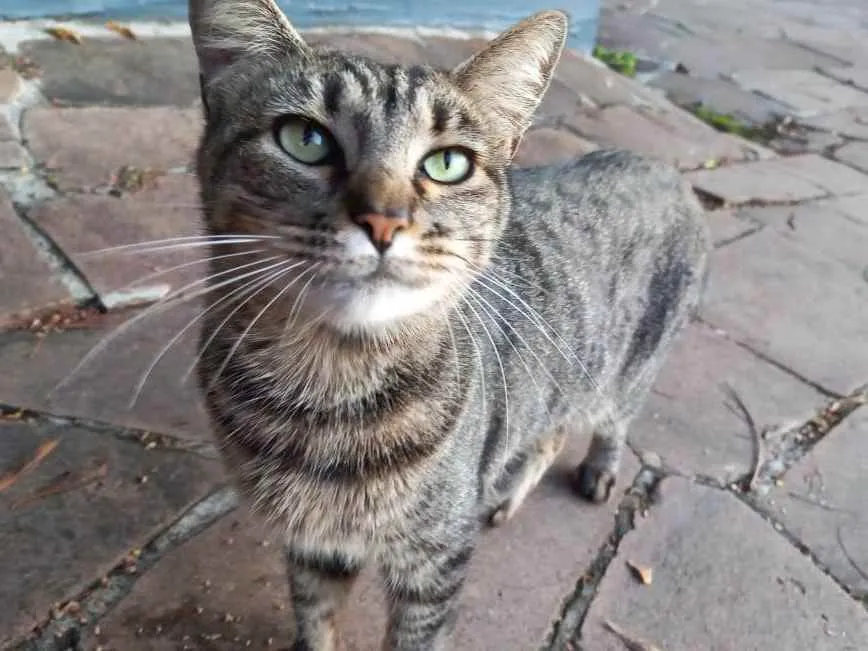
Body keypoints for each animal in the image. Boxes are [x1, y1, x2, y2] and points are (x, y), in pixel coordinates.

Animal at [187, 0, 710, 648]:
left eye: (447, 163)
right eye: (304, 139)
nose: (383, 221)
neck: (326, 394)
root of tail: (660, 164)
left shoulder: (435, 560)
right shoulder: (313, 541)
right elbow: (315, 618)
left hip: (628, 368)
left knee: (611, 423)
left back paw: (594, 472)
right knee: (550, 429)